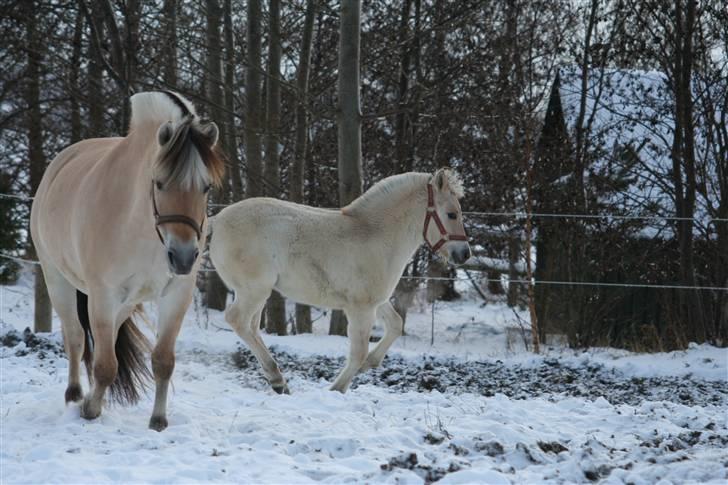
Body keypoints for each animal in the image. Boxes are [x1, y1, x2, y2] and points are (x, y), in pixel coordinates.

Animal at [31, 90, 223, 428]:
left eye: (206, 187)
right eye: (159, 183)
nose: (183, 256)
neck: (142, 228)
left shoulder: (176, 294)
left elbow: (163, 361)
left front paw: (158, 420)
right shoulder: (103, 295)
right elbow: (105, 364)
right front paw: (90, 410)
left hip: (126, 301)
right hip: (57, 279)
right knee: (75, 337)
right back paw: (75, 395)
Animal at [210, 168, 472, 392]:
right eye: (451, 214)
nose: (465, 254)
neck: (377, 236)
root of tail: (217, 220)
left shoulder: (376, 302)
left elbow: (396, 325)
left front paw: (370, 364)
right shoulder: (360, 308)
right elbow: (358, 351)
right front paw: (337, 388)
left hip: (257, 293)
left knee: (251, 327)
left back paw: (276, 380)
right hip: (253, 290)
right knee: (237, 320)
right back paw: (277, 378)